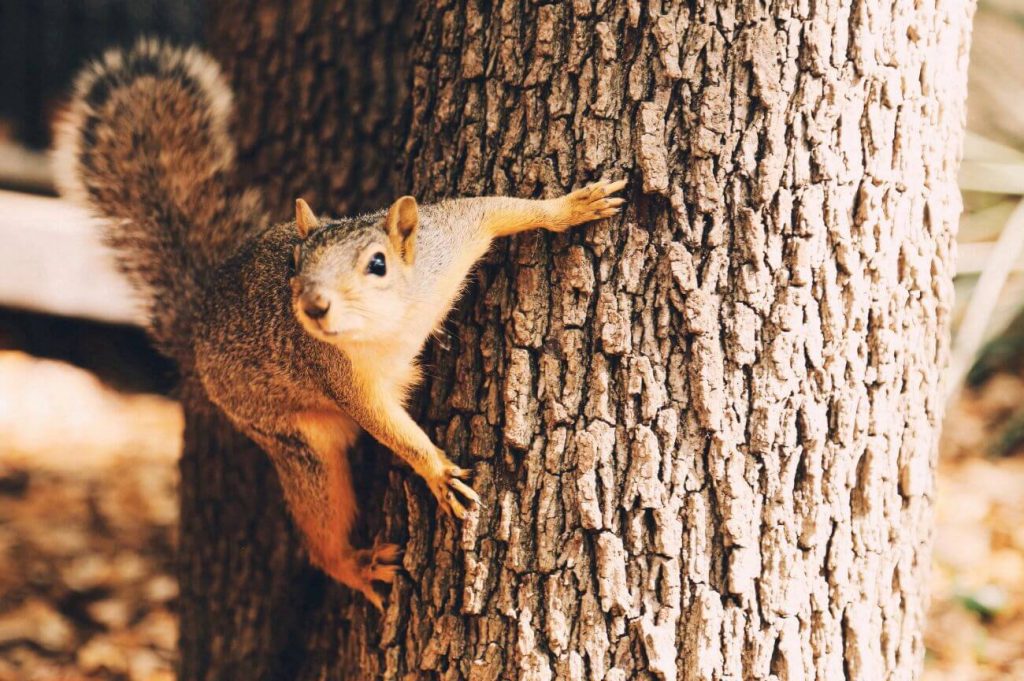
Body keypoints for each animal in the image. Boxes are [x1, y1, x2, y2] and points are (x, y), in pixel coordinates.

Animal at [58, 39, 630, 606]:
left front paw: (572, 206)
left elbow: (494, 209)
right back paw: (355, 567)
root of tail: (198, 335)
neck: (393, 323)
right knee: (321, 523)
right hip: (293, 441)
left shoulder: (450, 242)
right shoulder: (339, 374)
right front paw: (437, 470)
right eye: (295, 263)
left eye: (378, 264)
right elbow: (385, 424)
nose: (313, 305)